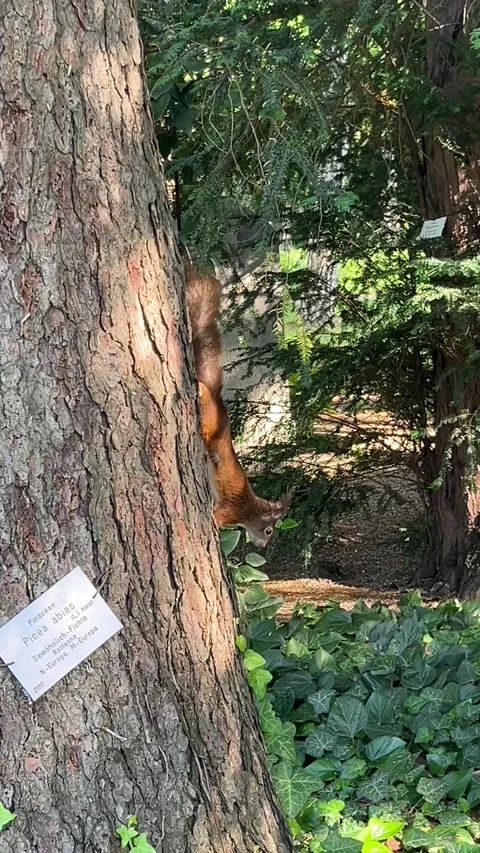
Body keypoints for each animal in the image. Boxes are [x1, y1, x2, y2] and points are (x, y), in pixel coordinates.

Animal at [185, 262, 290, 548]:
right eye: (269, 530)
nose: (262, 547)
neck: (251, 511)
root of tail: (217, 399)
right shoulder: (233, 510)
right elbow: (218, 517)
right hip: (210, 422)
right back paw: (200, 389)